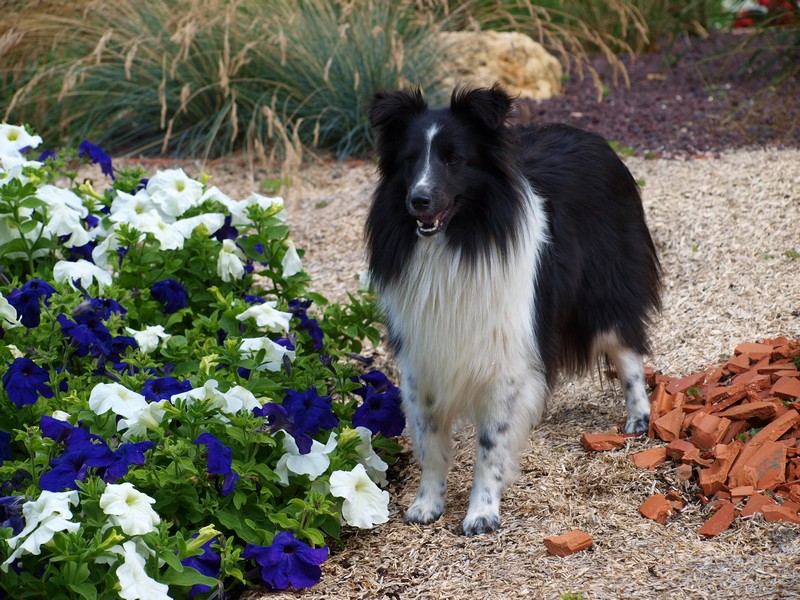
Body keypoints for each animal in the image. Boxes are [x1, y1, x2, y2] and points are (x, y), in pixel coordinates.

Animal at [366, 83, 660, 536]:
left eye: (454, 158)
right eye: (410, 158)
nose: (419, 200)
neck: (457, 242)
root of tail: (596, 139)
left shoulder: (503, 360)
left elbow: (491, 443)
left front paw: (482, 512)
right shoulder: (422, 358)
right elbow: (429, 441)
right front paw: (427, 504)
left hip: (605, 294)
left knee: (628, 352)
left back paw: (638, 420)